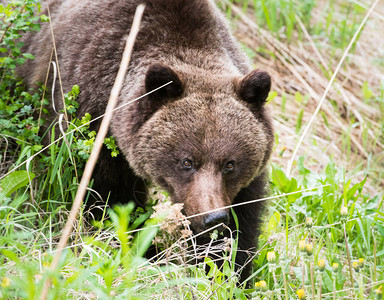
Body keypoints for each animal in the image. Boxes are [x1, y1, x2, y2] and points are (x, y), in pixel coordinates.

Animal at [17, 0, 272, 282]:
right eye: (186, 161)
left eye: (230, 164)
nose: (212, 217)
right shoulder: (91, 122)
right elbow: (111, 201)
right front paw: (147, 253)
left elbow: (241, 220)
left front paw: (225, 269)